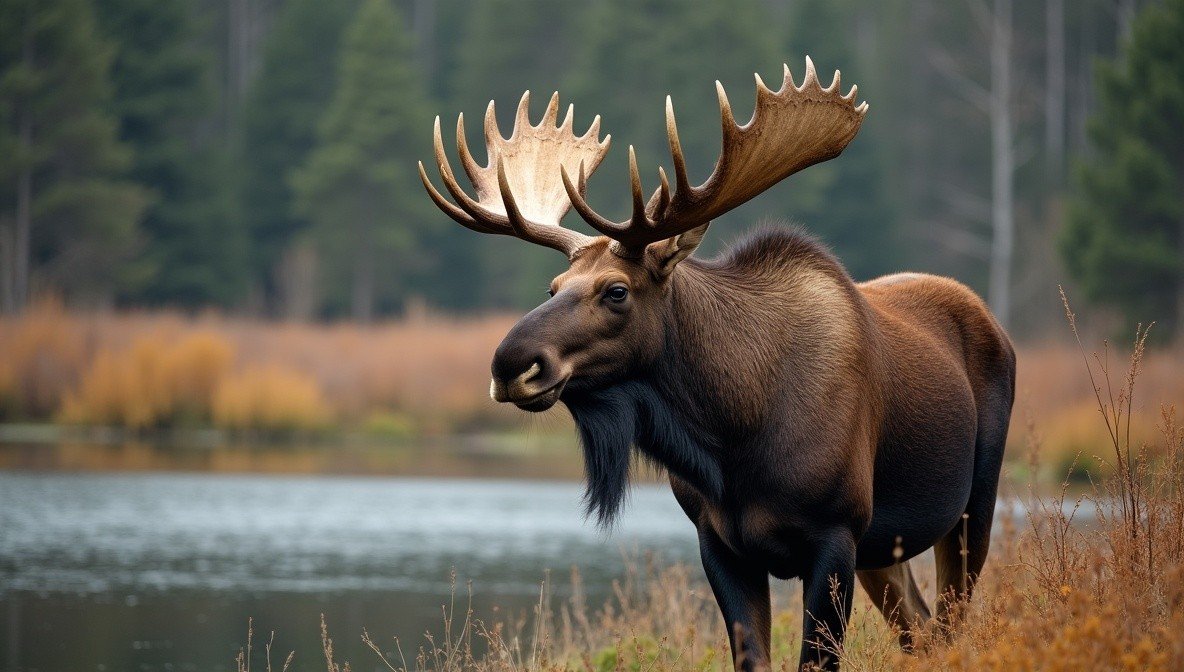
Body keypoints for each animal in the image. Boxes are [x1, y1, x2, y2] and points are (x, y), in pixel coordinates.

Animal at [418, 58, 1015, 671]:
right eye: (554, 286)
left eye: (616, 291)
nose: (511, 364)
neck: (734, 438)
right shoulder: (719, 540)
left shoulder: (836, 532)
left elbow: (816, 658)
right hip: (884, 549)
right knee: (920, 628)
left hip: (972, 505)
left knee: (951, 619)